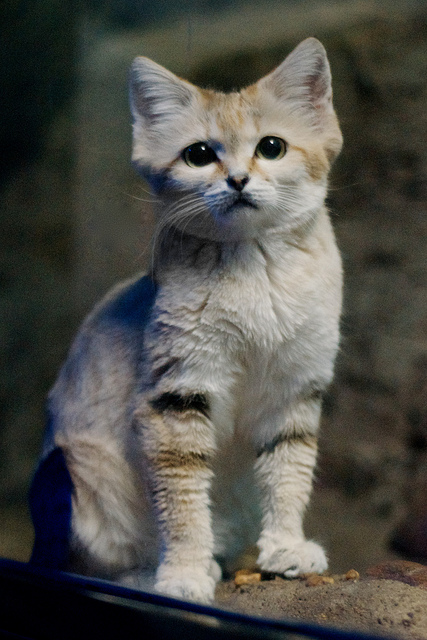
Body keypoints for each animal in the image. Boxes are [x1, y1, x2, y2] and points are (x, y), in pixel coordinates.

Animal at [30, 37, 342, 604]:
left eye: (271, 147)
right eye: (199, 155)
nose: (238, 180)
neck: (253, 264)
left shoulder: (295, 389)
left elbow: (288, 471)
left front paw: (287, 546)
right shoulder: (176, 393)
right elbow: (182, 496)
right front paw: (183, 573)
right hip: (71, 478)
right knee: (83, 567)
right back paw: (147, 576)